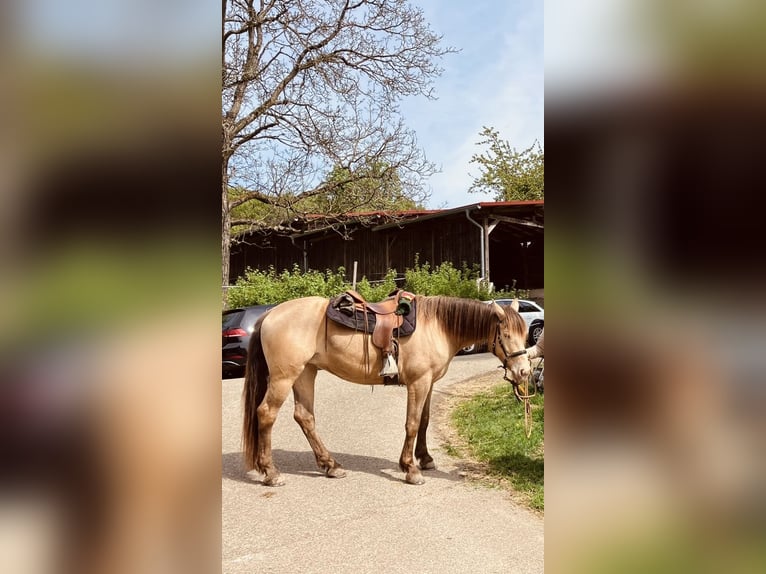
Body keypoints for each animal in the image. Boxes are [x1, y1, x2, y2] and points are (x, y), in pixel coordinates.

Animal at [242, 295, 531, 486]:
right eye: (505, 335)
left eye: (525, 333)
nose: (524, 372)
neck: (437, 325)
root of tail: (270, 314)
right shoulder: (418, 383)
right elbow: (412, 424)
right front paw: (411, 469)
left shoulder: (430, 383)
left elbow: (424, 421)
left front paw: (425, 459)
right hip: (284, 377)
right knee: (266, 413)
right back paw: (271, 473)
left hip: (305, 373)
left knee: (305, 417)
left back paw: (331, 466)